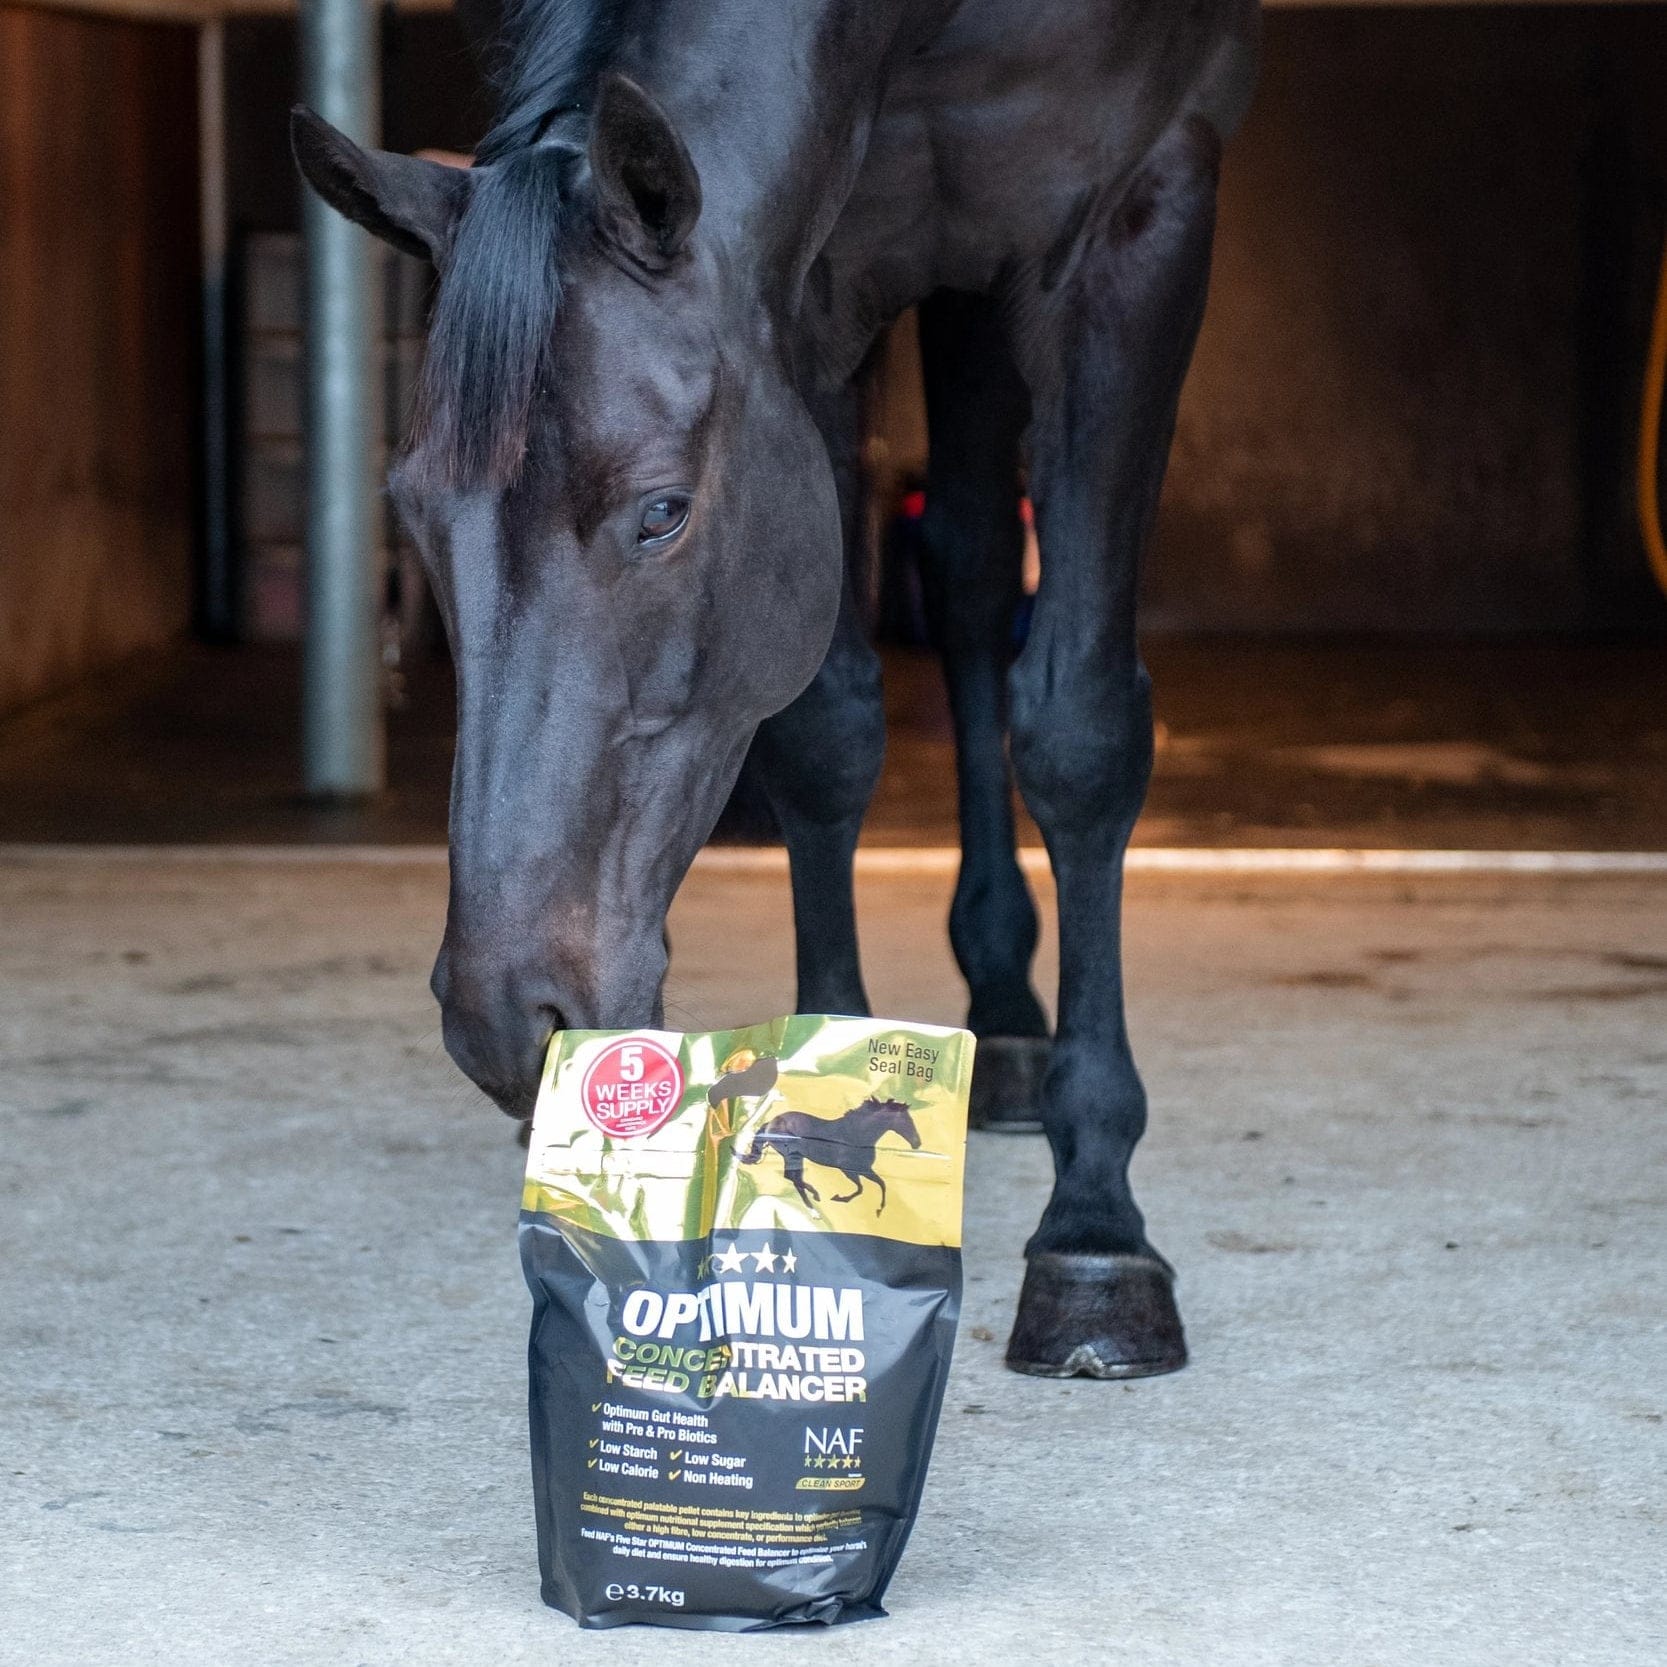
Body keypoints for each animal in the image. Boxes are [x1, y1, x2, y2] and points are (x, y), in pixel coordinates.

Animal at [740, 1097, 922, 1215]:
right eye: (907, 1121)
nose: (917, 1143)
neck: (856, 1135)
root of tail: (770, 1123)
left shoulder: (864, 1169)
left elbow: (881, 1183)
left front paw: (879, 1210)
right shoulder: (848, 1170)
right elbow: (861, 1188)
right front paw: (839, 1198)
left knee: (793, 1178)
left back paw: (815, 1202)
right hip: (793, 1156)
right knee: (794, 1178)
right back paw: (815, 1203)